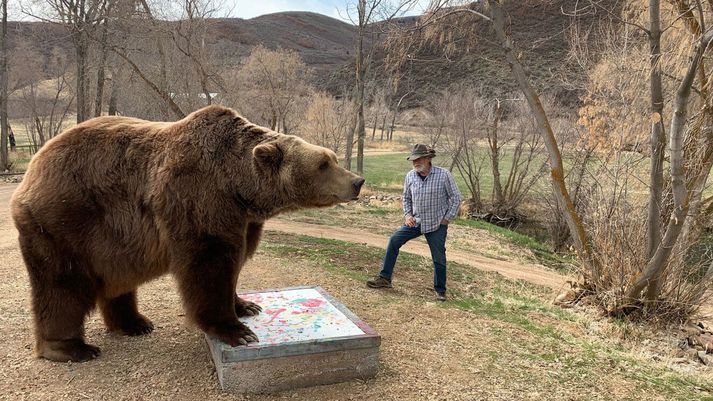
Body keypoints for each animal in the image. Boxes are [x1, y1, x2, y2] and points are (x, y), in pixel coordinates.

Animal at [11, 104, 364, 360]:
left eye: (332, 157)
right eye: (323, 164)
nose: (357, 181)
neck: (238, 187)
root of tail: (31, 169)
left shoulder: (244, 220)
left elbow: (235, 262)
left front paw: (247, 305)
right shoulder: (197, 198)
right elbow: (209, 265)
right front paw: (237, 330)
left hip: (113, 238)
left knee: (116, 280)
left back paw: (135, 323)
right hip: (65, 222)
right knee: (62, 286)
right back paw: (71, 347)